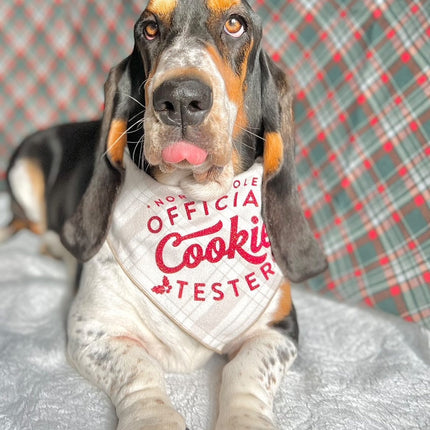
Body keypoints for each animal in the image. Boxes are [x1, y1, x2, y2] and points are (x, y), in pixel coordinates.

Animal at [2, 1, 326, 428]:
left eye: (235, 24)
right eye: (149, 29)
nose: (180, 99)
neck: (192, 204)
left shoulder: (279, 329)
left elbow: (244, 369)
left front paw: (244, 418)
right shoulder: (92, 329)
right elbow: (139, 368)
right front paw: (152, 418)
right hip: (23, 169)